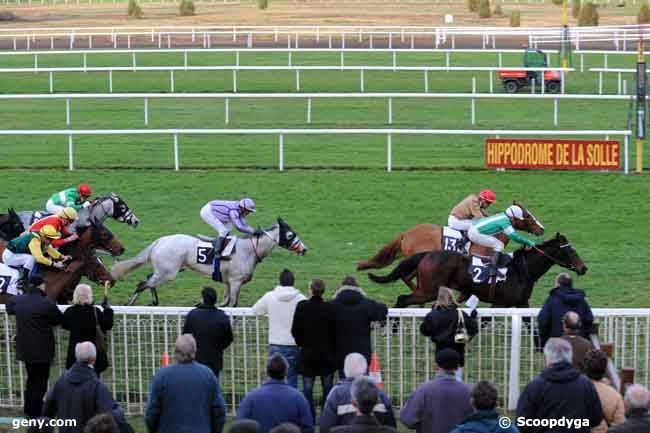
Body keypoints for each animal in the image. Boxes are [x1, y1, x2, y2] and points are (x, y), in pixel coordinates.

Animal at [110, 216, 308, 308]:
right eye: (290, 235)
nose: (304, 249)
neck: (248, 250)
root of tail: (159, 241)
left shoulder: (229, 282)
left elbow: (225, 303)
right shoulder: (235, 282)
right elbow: (232, 304)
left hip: (166, 270)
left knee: (148, 278)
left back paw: (153, 301)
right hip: (168, 272)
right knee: (142, 284)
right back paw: (129, 304)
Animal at [368, 233, 584, 308]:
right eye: (571, 251)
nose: (584, 268)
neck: (522, 270)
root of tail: (427, 253)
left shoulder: (516, 304)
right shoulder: (507, 304)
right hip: (428, 290)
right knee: (402, 300)